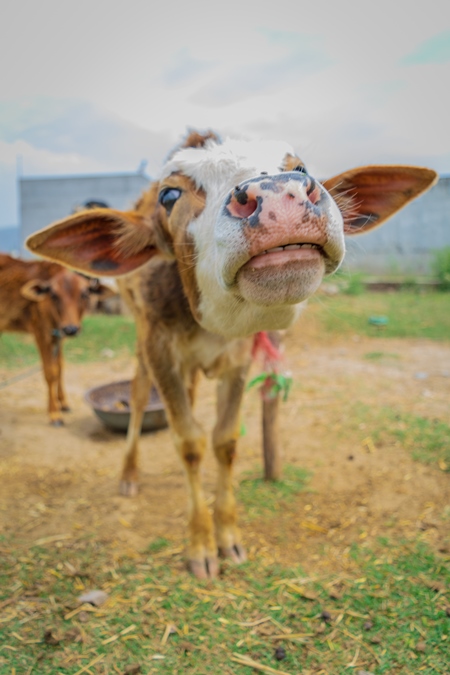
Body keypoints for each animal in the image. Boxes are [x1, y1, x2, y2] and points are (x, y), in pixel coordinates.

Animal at [0, 255, 112, 428]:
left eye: (84, 294)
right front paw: (54, 413)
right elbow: (49, 372)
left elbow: (59, 367)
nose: (71, 329)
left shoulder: (59, 336)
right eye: (53, 295)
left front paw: (63, 403)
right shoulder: (41, 333)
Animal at [26, 133, 438, 580]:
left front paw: (227, 536)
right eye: (169, 195)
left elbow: (224, 440)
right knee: (137, 398)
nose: (279, 195)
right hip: (140, 342)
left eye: (301, 168)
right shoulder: (159, 349)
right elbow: (189, 442)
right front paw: (200, 545)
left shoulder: (239, 359)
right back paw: (130, 473)